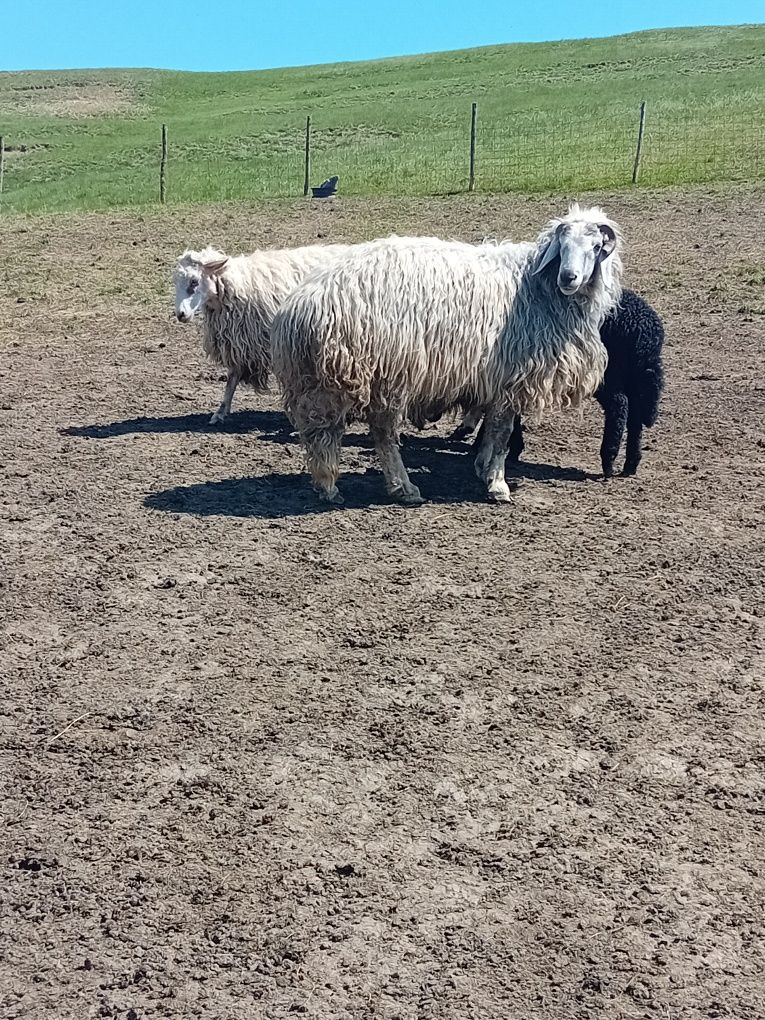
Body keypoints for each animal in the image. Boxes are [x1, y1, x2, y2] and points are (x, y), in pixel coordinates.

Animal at [173, 241, 352, 422]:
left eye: (194, 281)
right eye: (176, 282)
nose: (180, 314)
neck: (237, 287)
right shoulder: (240, 342)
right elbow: (231, 378)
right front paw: (221, 411)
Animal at [273, 205, 624, 507]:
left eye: (595, 246)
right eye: (562, 245)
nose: (569, 277)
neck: (538, 287)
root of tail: (299, 306)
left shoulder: (494, 382)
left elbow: (492, 432)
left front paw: (482, 468)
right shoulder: (510, 380)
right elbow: (502, 435)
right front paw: (498, 485)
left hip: (327, 379)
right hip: (378, 375)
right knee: (374, 436)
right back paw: (389, 488)